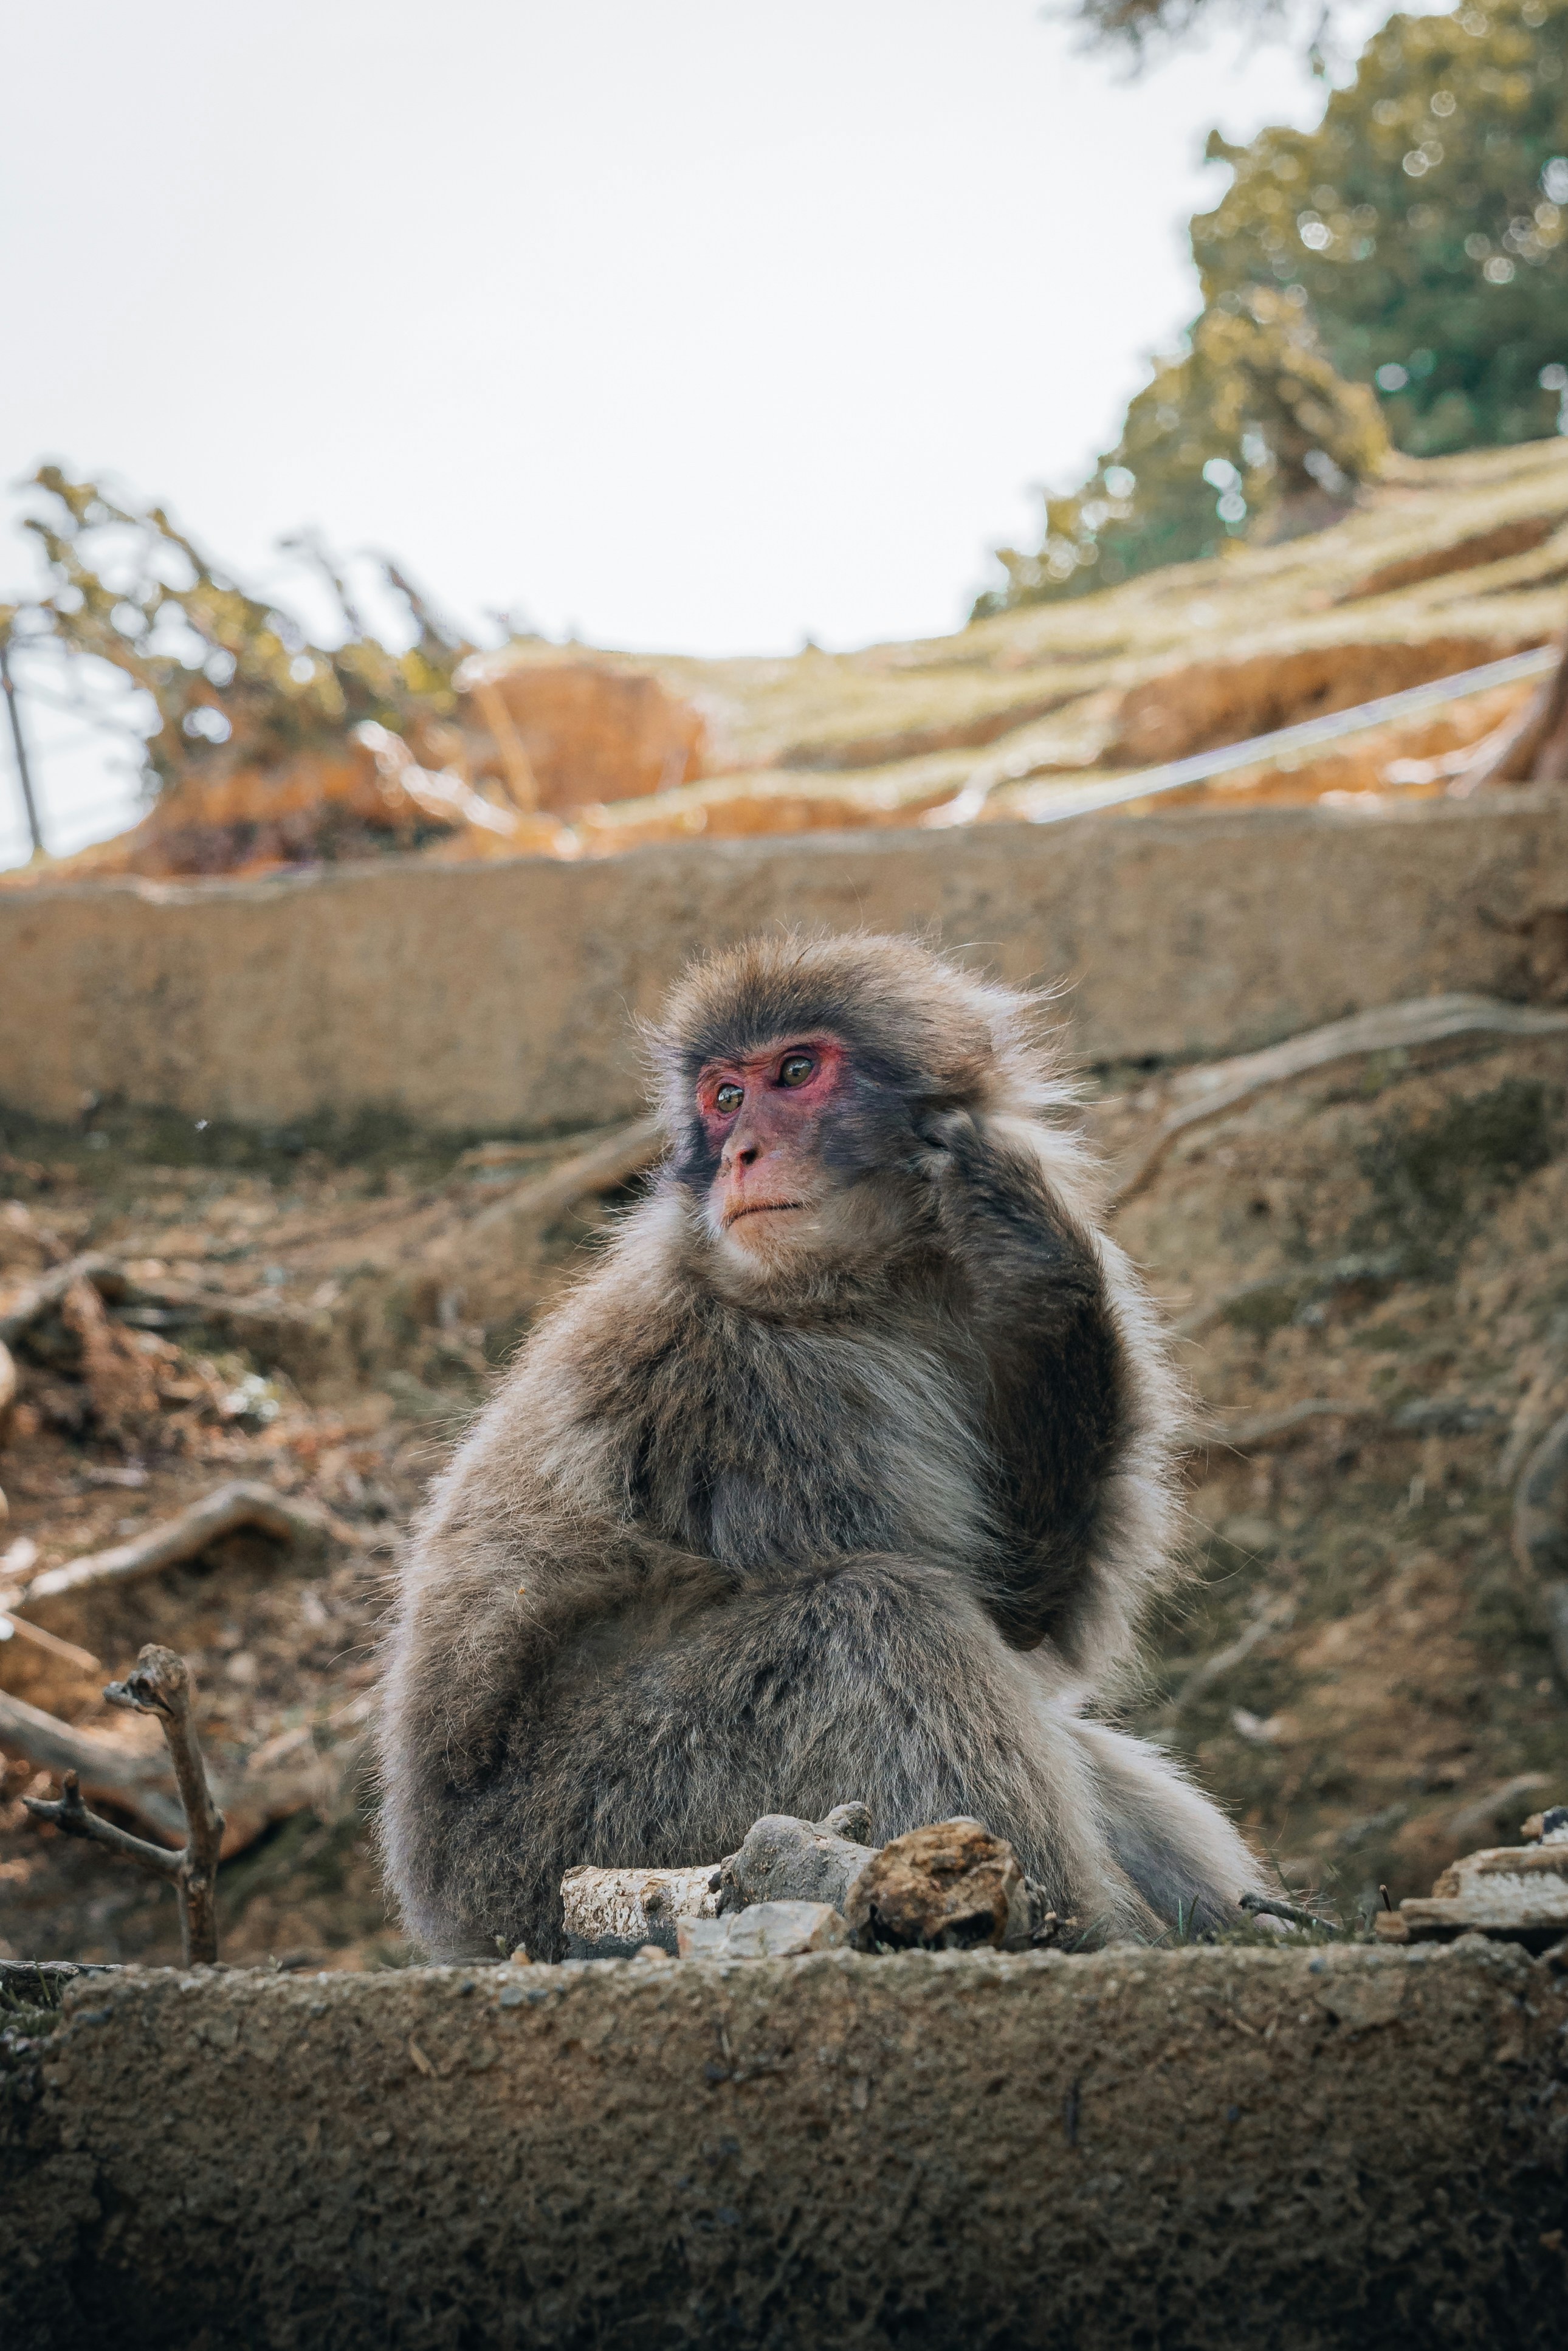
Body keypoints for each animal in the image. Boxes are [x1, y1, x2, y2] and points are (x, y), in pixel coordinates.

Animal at [377, 931, 1266, 1961]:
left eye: (795, 1073)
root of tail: (442, 1914)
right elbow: (987, 1618)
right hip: (589, 1827)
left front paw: (1038, 1261)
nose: (741, 1153)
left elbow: (1031, 1615)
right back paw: (1076, 1932)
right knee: (870, 1614)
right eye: (726, 1098)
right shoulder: (759, 1391)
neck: (859, 1289)